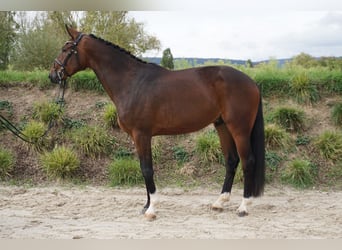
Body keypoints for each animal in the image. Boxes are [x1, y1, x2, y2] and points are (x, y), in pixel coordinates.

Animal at [49, 25, 266, 219]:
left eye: (65, 49)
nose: (52, 75)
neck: (132, 82)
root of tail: (252, 82)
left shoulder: (142, 134)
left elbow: (147, 169)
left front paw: (152, 209)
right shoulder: (138, 137)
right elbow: (143, 168)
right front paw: (146, 206)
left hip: (239, 128)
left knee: (248, 161)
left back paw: (243, 207)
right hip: (222, 126)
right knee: (231, 161)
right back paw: (219, 203)